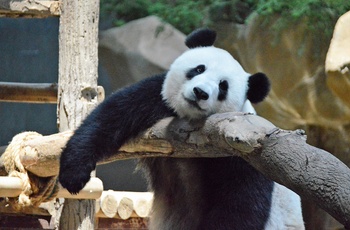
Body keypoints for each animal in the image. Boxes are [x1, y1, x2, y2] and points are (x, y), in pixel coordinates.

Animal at [58, 28, 304, 228]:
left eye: (223, 86)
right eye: (199, 68)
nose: (200, 92)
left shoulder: (241, 146)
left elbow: (241, 204)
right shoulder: (159, 98)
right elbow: (114, 114)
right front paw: (74, 174)